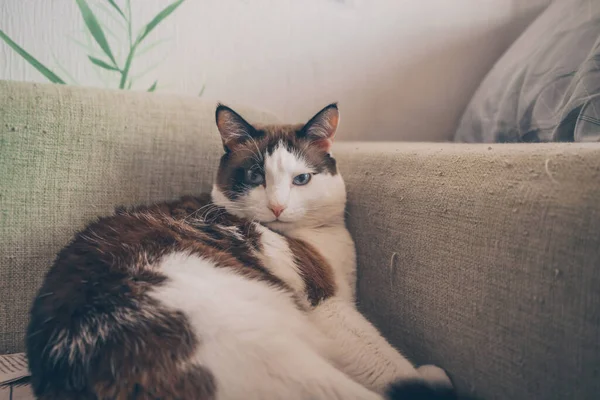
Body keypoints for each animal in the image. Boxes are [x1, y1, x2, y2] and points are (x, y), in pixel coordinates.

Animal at [24, 104, 454, 400]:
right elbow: (383, 358)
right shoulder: (326, 304)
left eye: (301, 179)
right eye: (254, 175)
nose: (277, 207)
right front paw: (420, 374)